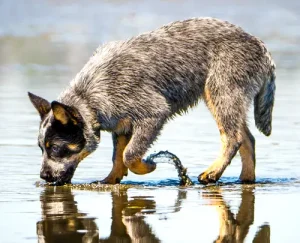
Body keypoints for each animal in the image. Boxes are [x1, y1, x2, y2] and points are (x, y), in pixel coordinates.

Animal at [28, 17, 276, 184]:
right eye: (40, 148)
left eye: (55, 148)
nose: (43, 176)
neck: (90, 95)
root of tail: (260, 45)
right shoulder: (121, 124)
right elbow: (117, 156)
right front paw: (111, 180)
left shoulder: (153, 113)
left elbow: (129, 155)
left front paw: (147, 166)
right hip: (229, 100)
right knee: (248, 140)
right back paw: (246, 179)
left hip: (220, 93)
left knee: (233, 138)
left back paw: (213, 172)